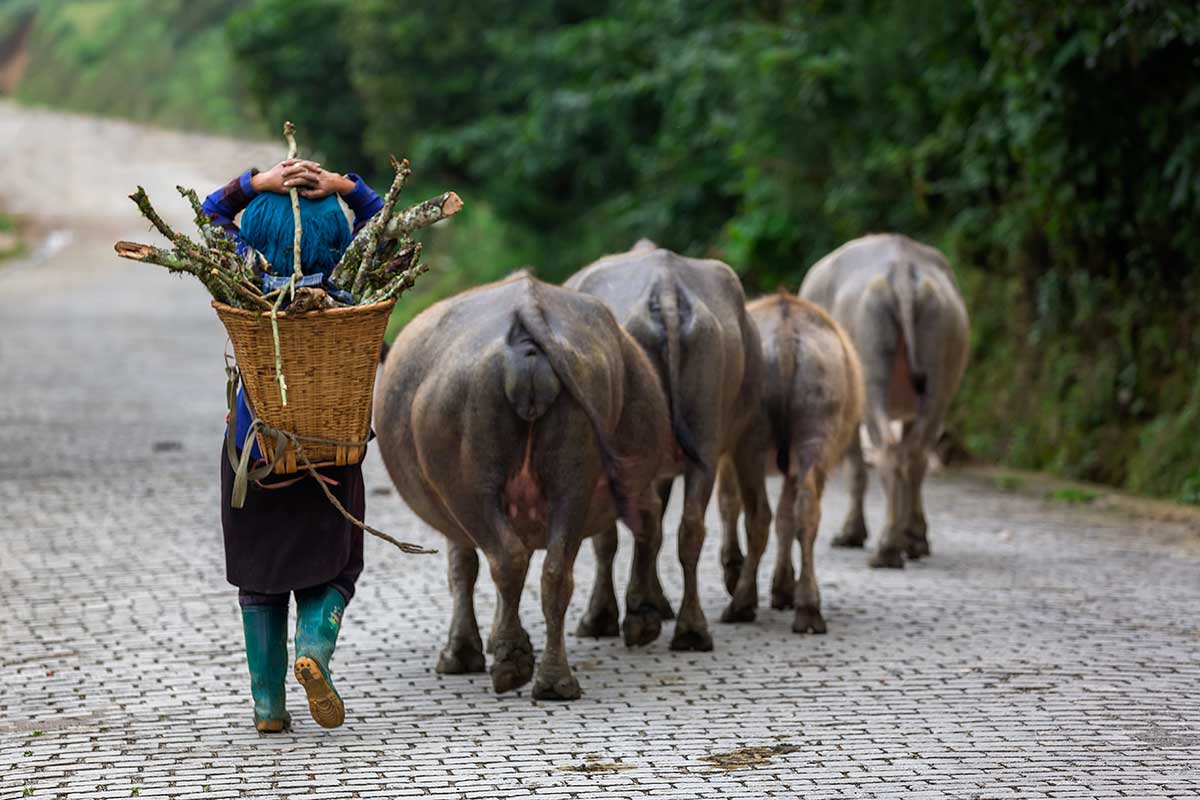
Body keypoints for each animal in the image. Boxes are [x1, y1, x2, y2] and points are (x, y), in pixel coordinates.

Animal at [374, 272, 676, 695]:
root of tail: (527, 316)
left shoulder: (460, 517)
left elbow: (462, 568)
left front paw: (462, 653)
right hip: (576, 472)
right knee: (561, 568)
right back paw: (556, 679)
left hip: (469, 485)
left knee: (507, 558)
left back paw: (512, 664)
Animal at [566, 241, 763, 652]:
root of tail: (667, 288)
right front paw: (652, 604)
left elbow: (610, 538)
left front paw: (604, 615)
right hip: (705, 438)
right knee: (688, 527)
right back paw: (690, 628)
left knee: (642, 525)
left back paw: (642, 619)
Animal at [710, 292, 864, 633]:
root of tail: (784, 332)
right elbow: (786, 519)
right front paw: (783, 587)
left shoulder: (725, 453)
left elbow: (729, 503)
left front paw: (735, 569)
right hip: (813, 436)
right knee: (805, 513)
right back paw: (808, 607)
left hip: (750, 444)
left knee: (758, 515)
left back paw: (741, 601)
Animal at [801, 232, 969, 568]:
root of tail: (903, 270)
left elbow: (855, 468)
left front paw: (850, 533)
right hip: (938, 369)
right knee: (914, 456)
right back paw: (911, 540)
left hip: (871, 363)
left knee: (888, 454)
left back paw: (887, 548)